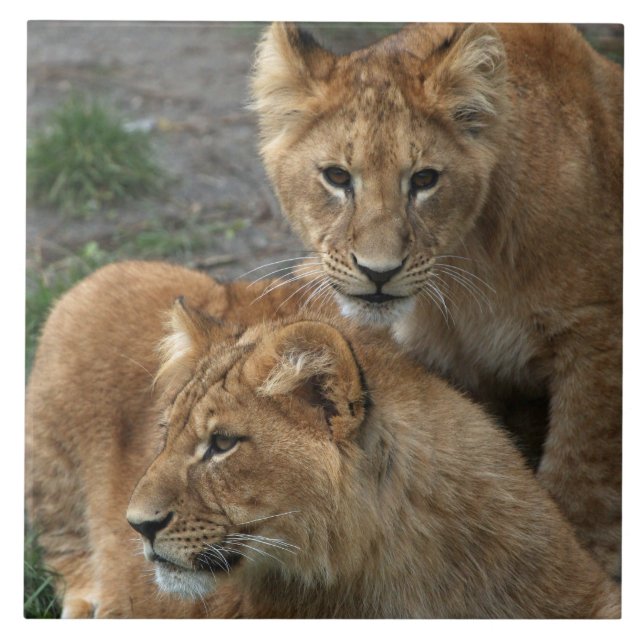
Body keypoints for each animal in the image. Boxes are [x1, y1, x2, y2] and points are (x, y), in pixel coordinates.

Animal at [251, 22, 623, 578]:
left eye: (424, 180)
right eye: (337, 177)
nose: (378, 273)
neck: (470, 266)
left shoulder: (598, 341)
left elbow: (582, 486)